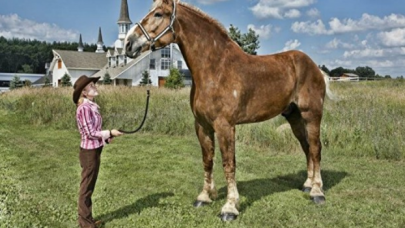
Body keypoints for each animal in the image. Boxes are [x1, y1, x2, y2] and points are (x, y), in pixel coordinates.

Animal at [124, 0, 330, 221]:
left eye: (158, 14)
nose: (129, 44)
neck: (215, 69)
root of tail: (315, 67)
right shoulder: (202, 125)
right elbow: (208, 160)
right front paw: (204, 197)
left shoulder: (225, 126)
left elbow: (228, 163)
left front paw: (230, 207)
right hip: (294, 117)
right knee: (306, 147)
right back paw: (308, 185)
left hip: (312, 115)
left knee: (315, 149)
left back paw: (317, 192)